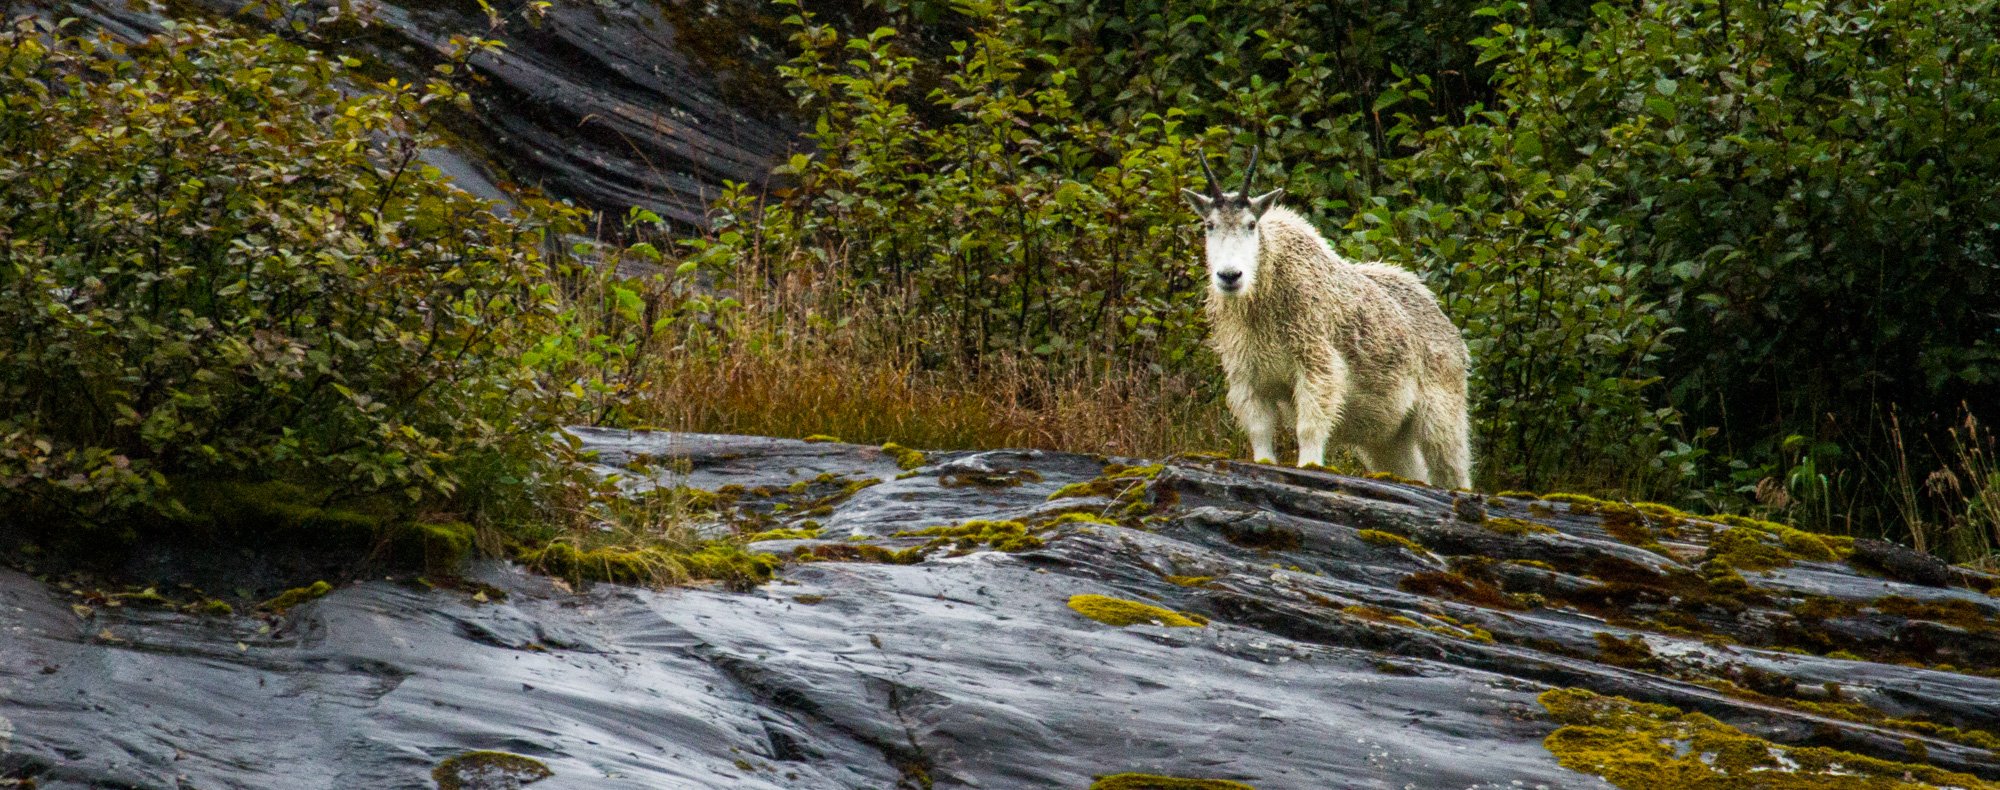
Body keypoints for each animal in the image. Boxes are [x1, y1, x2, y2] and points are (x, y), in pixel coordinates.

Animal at [1180, 146, 1472, 488]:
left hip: (1442, 413)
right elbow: (1260, 430)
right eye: (1209, 225)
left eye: (1251, 224)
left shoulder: (1316, 362)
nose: (1229, 276)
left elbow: (1309, 425)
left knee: (1453, 469)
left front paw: (1309, 467)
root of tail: (1447, 325)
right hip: (1388, 436)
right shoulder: (1246, 373)